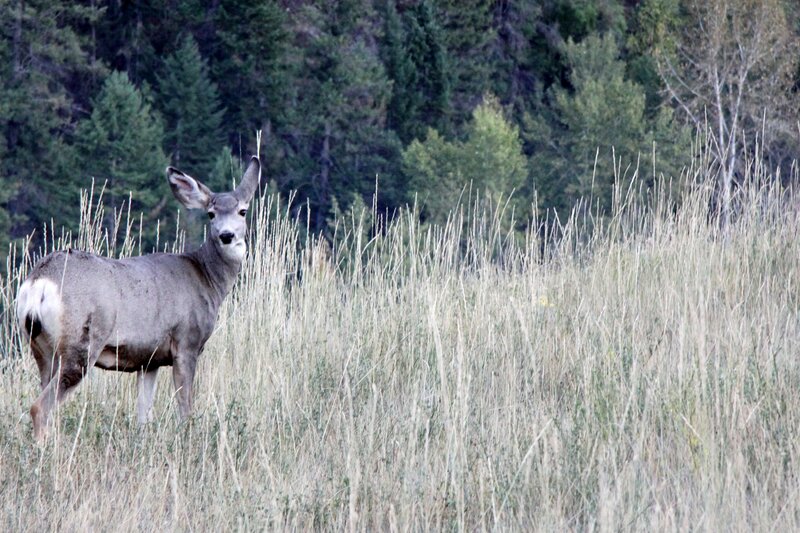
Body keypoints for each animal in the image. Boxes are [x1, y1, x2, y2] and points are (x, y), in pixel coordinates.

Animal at [16, 156, 261, 441]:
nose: (226, 235)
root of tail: (39, 284)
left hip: (40, 348)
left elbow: (144, 415)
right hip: (81, 342)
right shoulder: (186, 342)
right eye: (211, 213)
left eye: (242, 211)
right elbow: (185, 408)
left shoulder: (149, 359)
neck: (207, 278)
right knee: (39, 407)